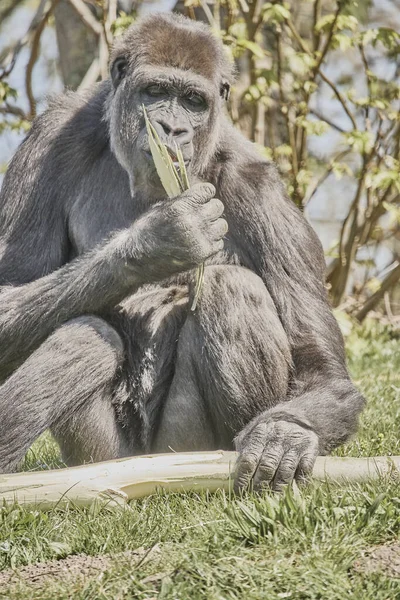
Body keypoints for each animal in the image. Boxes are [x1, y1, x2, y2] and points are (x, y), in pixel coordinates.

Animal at [0, 14, 364, 490]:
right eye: (155, 92)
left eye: (193, 101)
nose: (172, 130)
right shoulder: (49, 139)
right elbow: (10, 293)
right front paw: (160, 240)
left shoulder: (259, 185)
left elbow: (319, 368)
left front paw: (287, 432)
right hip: (103, 459)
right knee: (84, 337)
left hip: (187, 449)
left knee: (231, 289)